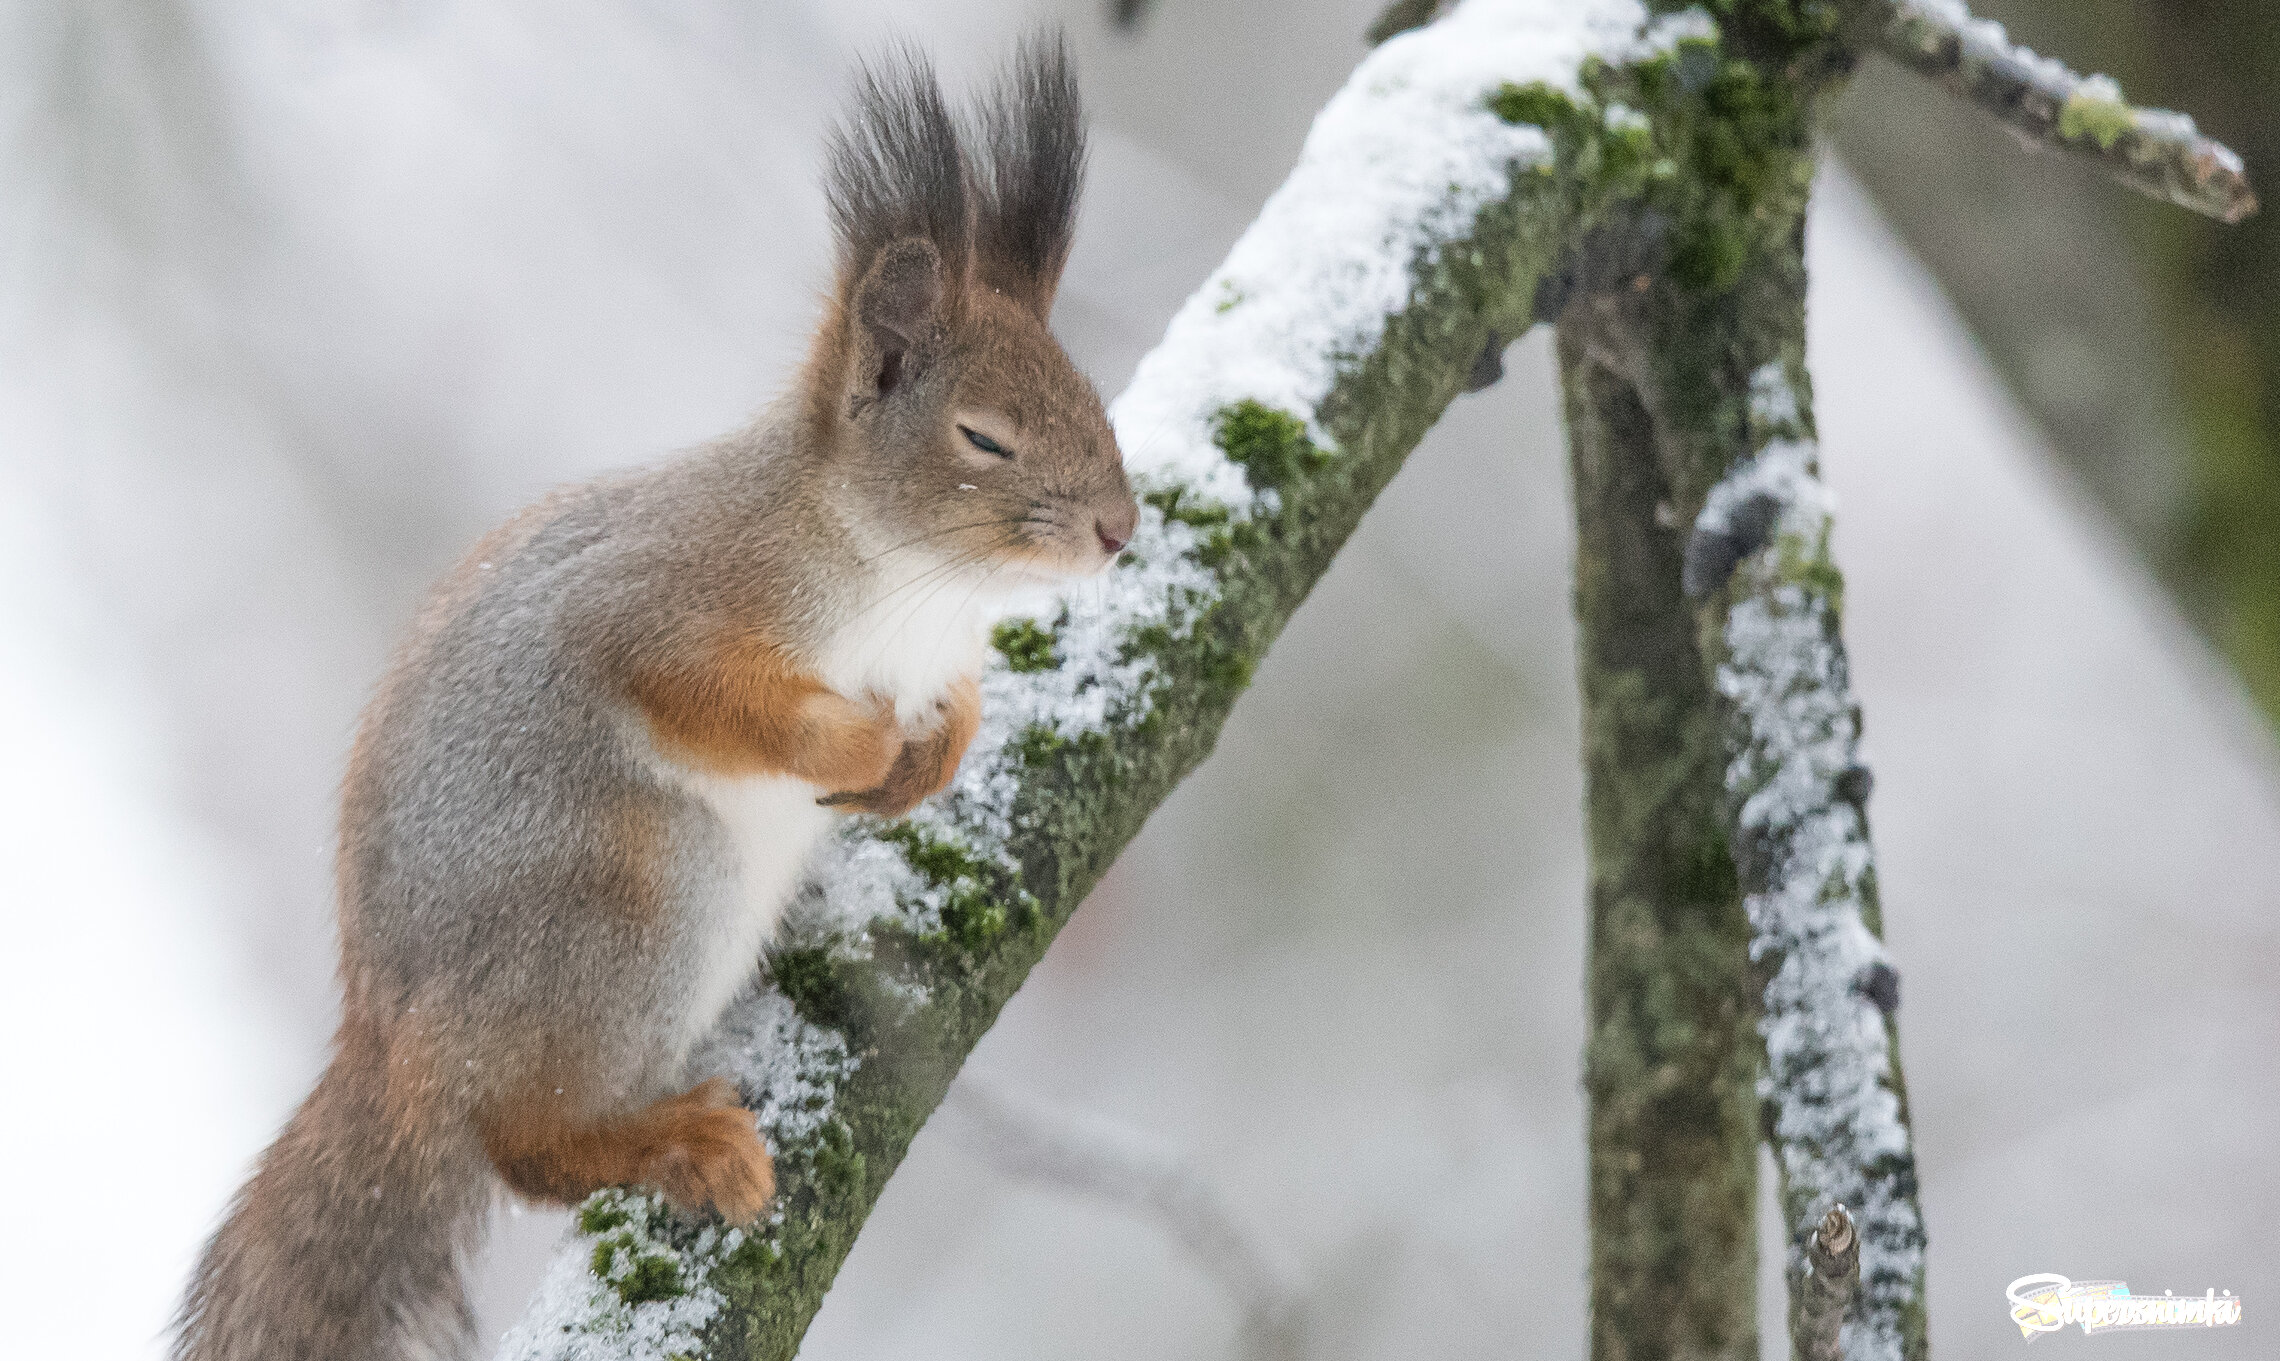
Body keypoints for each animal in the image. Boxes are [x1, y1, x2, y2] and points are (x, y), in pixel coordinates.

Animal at [173, 34, 1135, 1358]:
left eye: (1089, 395)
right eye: (982, 437)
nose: (1120, 529)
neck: (905, 584)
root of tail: (397, 1058)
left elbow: (958, 708)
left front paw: (932, 754)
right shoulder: (656, 601)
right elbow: (699, 691)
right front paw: (854, 741)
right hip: (629, 896)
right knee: (523, 1146)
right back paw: (676, 1141)